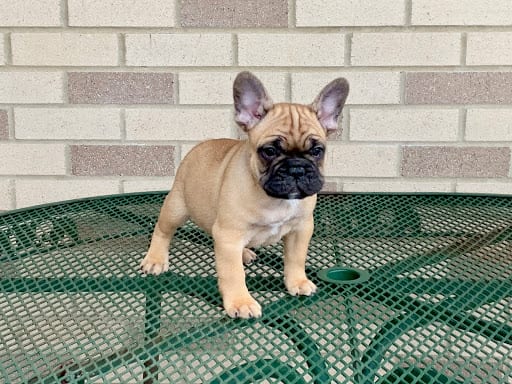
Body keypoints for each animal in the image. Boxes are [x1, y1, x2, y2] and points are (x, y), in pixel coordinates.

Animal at [140, 72, 348, 318]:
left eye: (317, 151)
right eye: (269, 151)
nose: (296, 168)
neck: (276, 200)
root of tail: (199, 147)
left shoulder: (301, 228)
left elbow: (296, 258)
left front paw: (297, 281)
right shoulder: (229, 235)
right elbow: (233, 273)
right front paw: (240, 302)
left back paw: (245, 253)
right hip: (177, 207)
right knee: (163, 230)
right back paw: (155, 259)